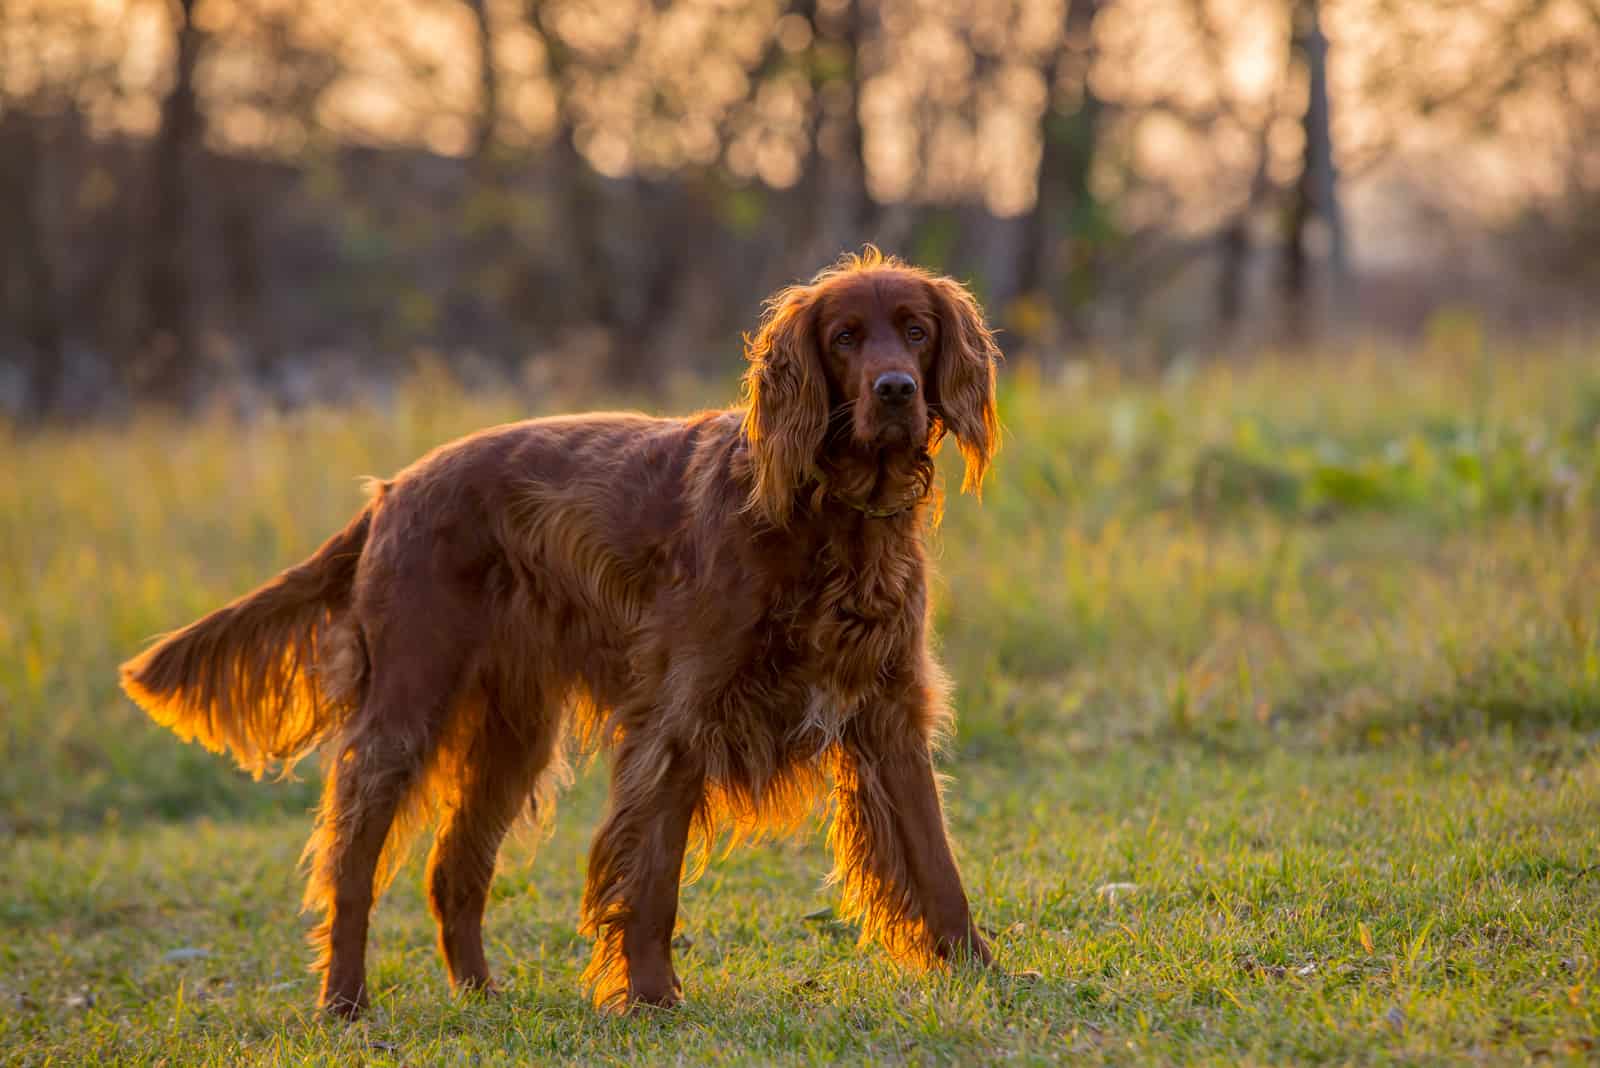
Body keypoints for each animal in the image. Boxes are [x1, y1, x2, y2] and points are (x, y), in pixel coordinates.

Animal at [121, 246, 998, 1016]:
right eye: (845, 336)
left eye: (916, 329)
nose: (894, 389)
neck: (825, 517)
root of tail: (393, 490)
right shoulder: (677, 722)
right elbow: (652, 879)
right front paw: (651, 999)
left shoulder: (890, 714)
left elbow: (938, 863)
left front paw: (980, 973)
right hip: (405, 714)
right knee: (351, 865)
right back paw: (344, 1001)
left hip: (512, 737)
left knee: (454, 870)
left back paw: (480, 994)